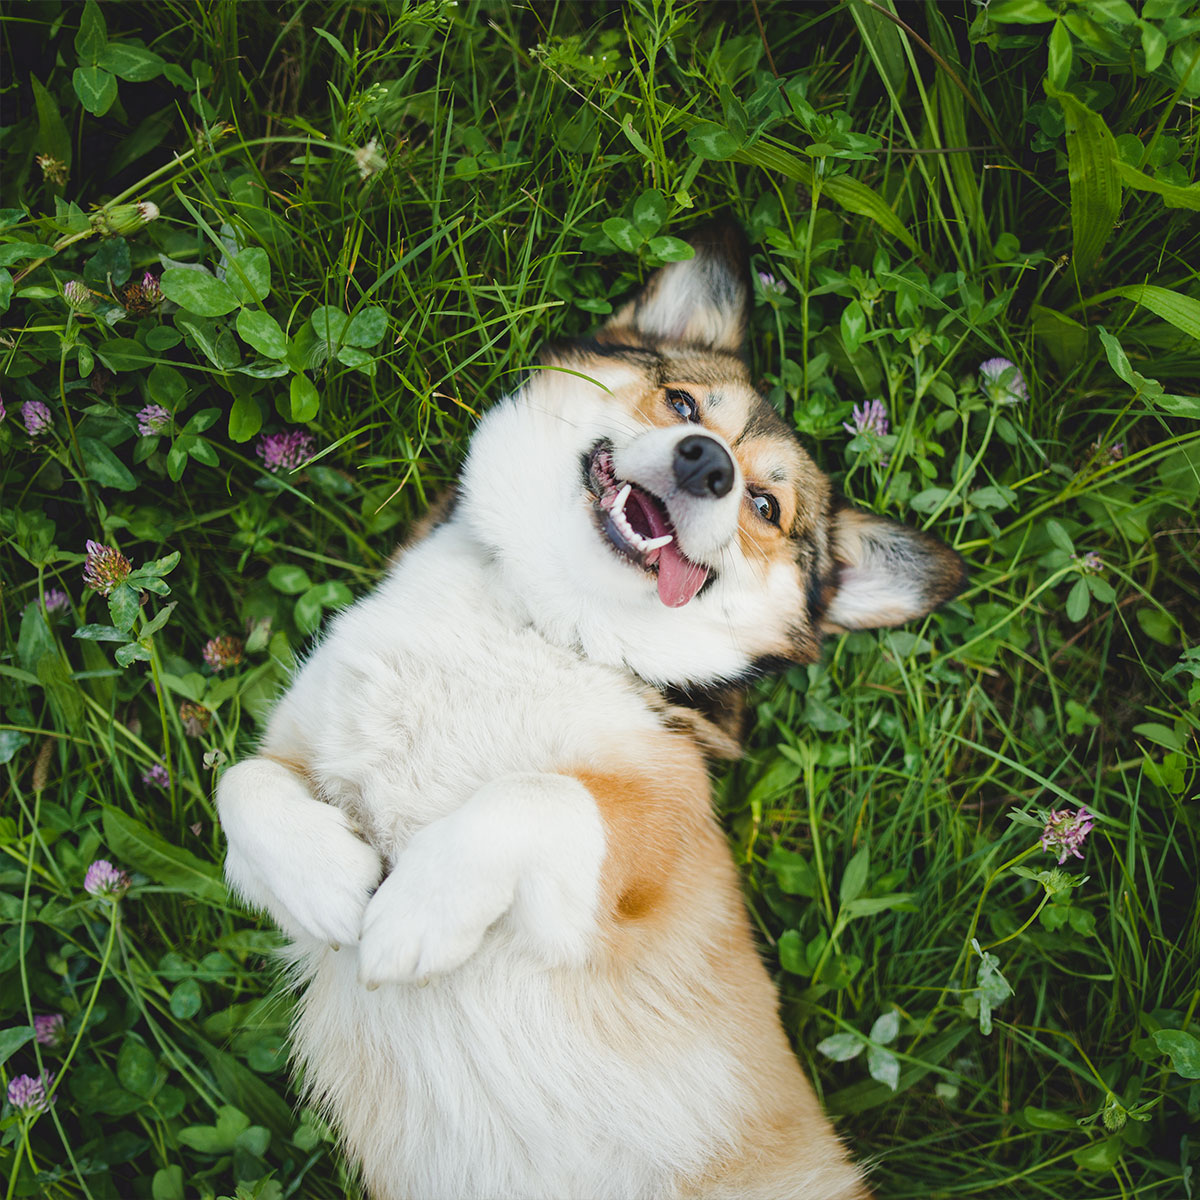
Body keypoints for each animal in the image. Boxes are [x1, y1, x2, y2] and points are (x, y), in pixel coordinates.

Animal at [216, 224, 965, 1200]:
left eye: (766, 507)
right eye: (682, 401)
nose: (707, 462)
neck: (541, 619)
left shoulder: (641, 854)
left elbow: (536, 795)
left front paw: (416, 914)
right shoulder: (295, 752)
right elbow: (242, 784)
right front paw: (327, 884)